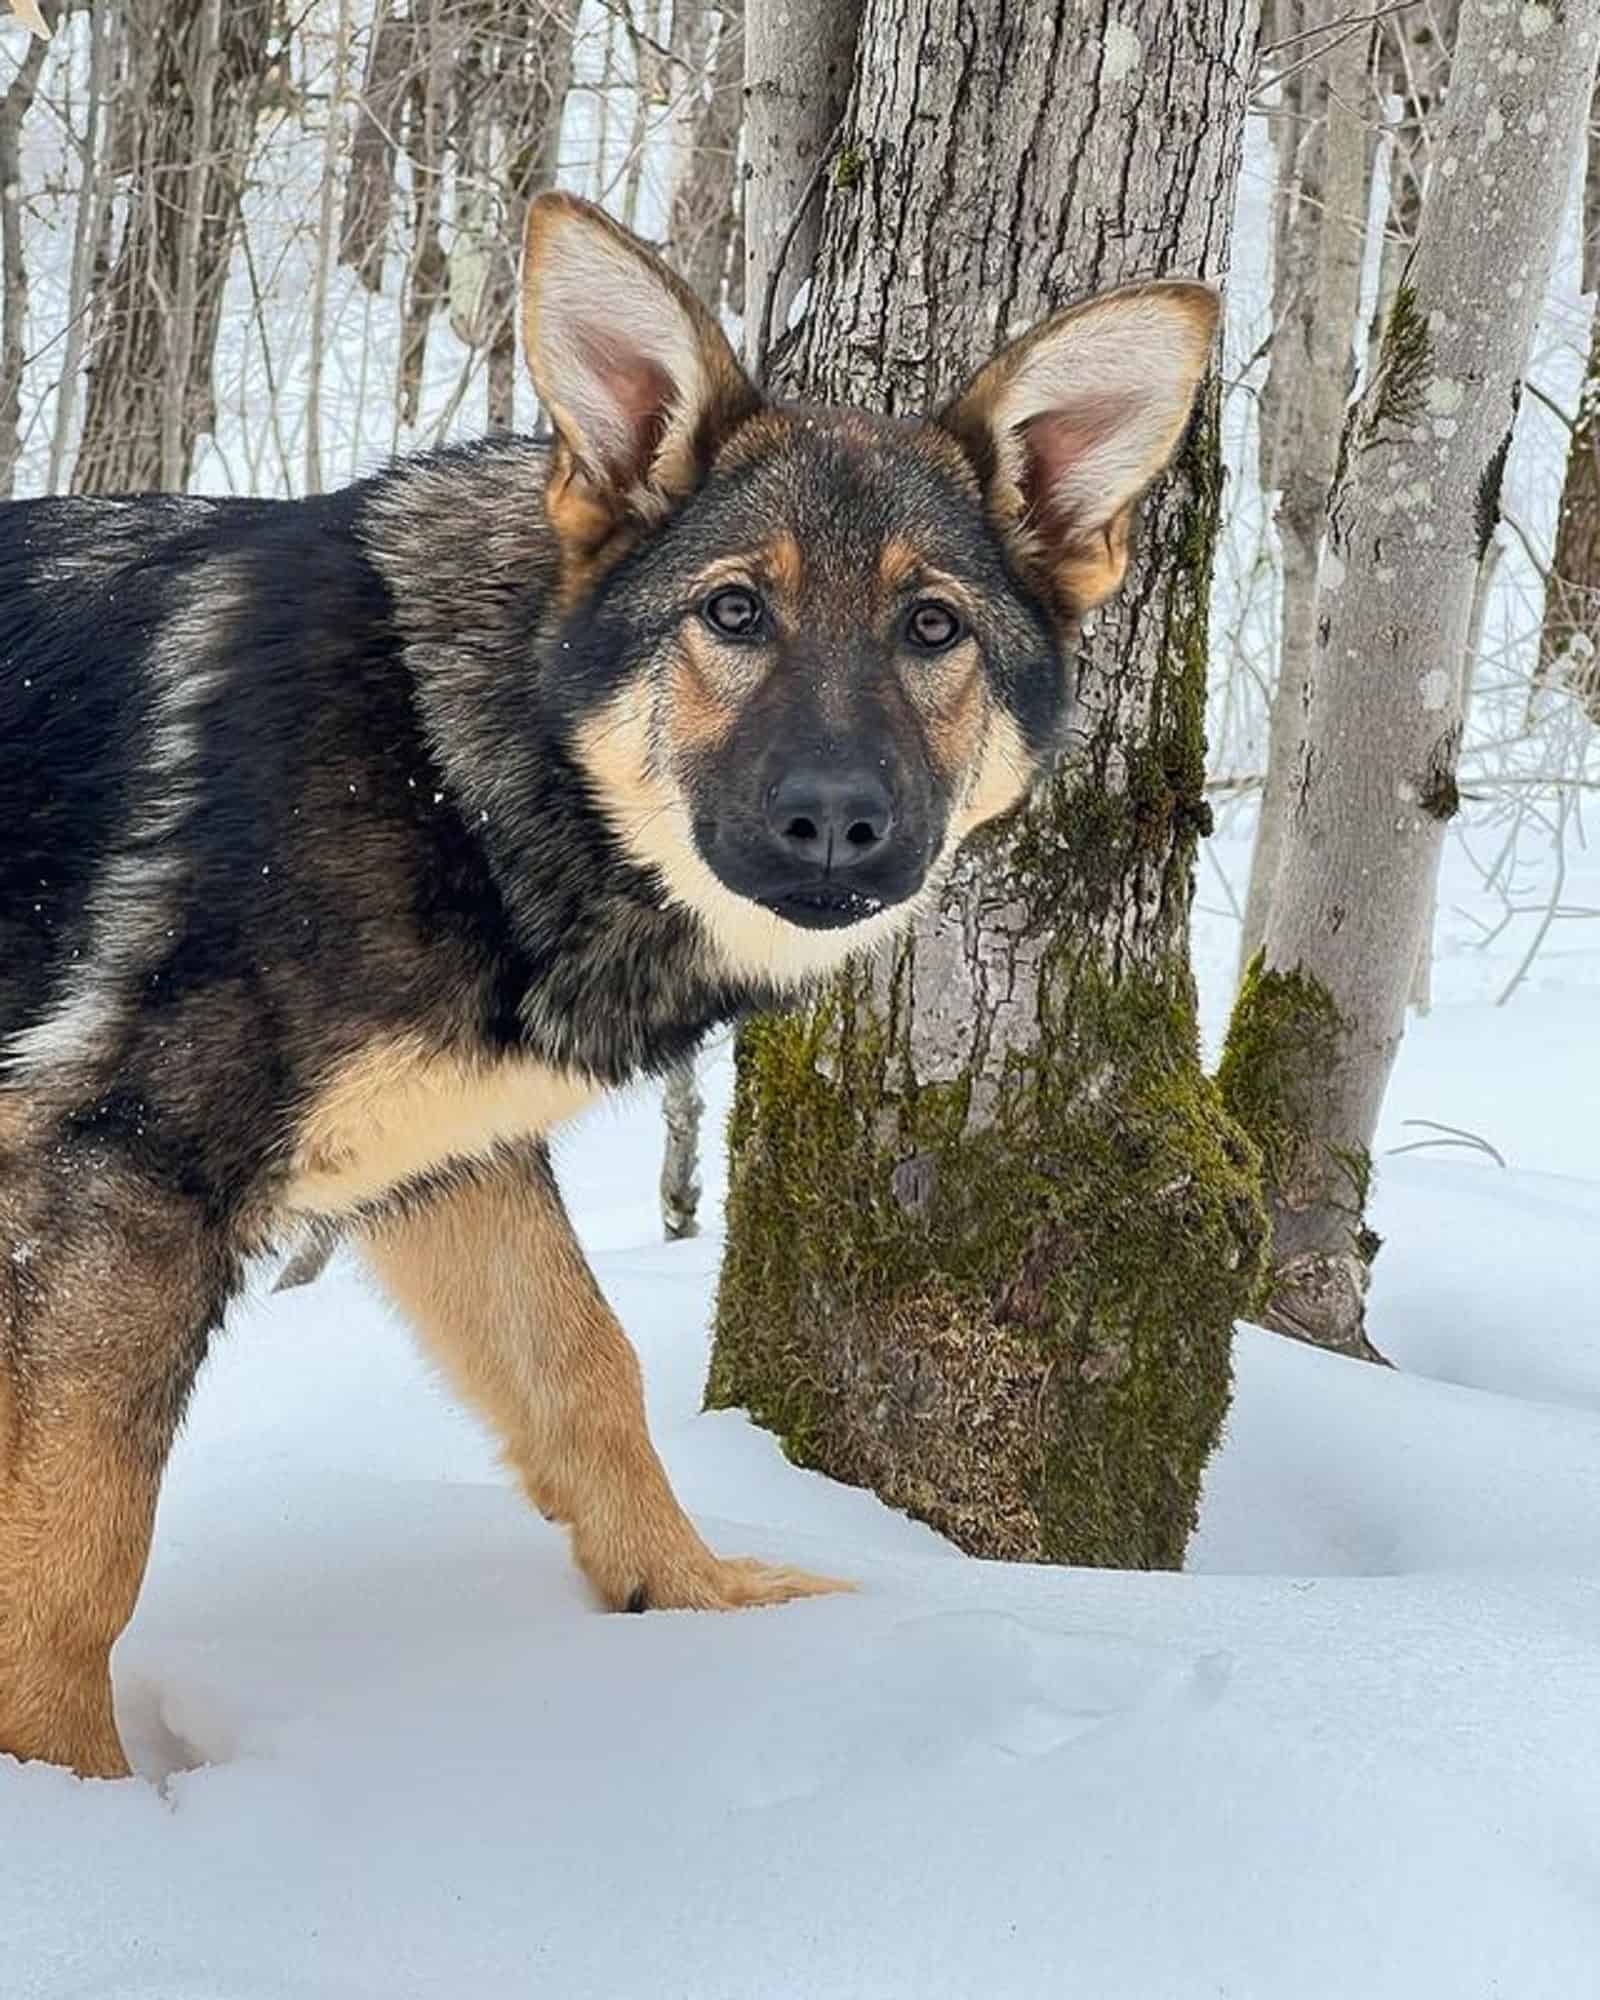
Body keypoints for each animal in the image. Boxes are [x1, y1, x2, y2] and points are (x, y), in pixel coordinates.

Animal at [0, 195, 1216, 1776]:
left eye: (933, 628)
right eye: (735, 612)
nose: (835, 822)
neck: (452, 766)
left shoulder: (449, 1164)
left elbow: (589, 1371)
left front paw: (684, 1592)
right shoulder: (128, 1183)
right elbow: (80, 1550)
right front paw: (73, 1790)